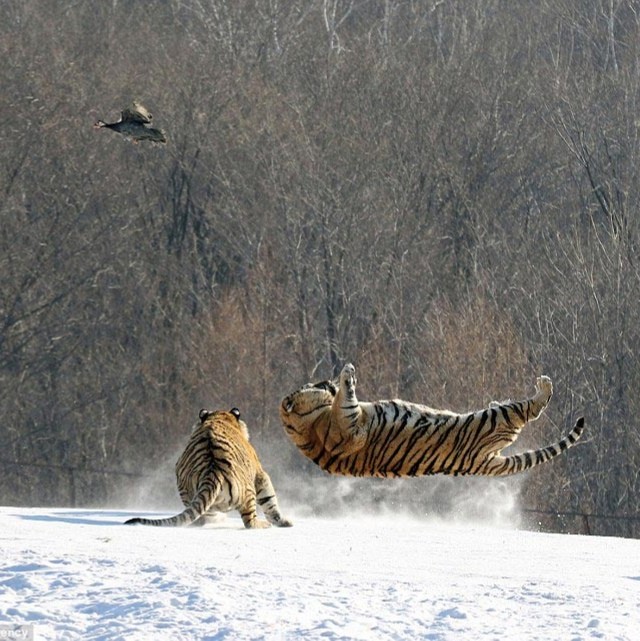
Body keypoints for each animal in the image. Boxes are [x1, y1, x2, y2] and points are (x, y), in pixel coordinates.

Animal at [280, 362, 584, 478]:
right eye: (317, 384)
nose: (327, 381)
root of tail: (485, 463)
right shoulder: (351, 426)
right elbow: (347, 398)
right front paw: (347, 373)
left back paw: (499, 399)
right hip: (494, 421)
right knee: (530, 408)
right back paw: (543, 385)